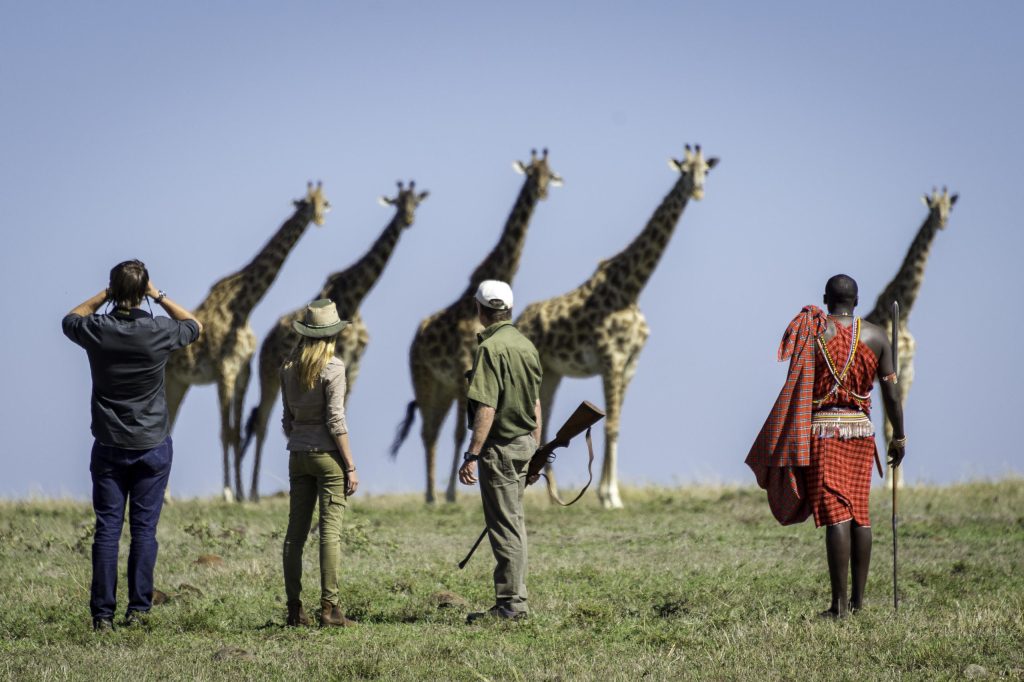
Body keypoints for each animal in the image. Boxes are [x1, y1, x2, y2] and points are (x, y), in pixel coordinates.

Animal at [165, 180, 329, 499]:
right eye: (306, 203)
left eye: (324, 202)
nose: (318, 219)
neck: (244, 306)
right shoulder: (224, 372)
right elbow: (226, 433)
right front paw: (228, 494)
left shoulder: (243, 373)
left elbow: (237, 433)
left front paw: (241, 494)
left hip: (179, 382)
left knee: (167, 427)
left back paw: (165, 497)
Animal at [243, 180, 428, 499]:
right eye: (398, 203)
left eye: (415, 202)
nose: (408, 219)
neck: (354, 299)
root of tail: (266, 341)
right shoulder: (340, 359)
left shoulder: (354, 365)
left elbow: (342, 413)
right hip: (267, 375)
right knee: (262, 422)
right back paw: (252, 493)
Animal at [391, 147, 565, 499]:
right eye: (531, 173)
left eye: (550, 173)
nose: (542, 191)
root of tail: (415, 338)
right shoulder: (465, 373)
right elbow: (461, 433)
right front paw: (451, 494)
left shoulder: (461, 379)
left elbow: (462, 431)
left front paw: (453, 492)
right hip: (423, 378)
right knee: (428, 432)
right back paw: (431, 495)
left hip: (442, 387)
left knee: (432, 430)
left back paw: (433, 493)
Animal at [516, 144, 716, 503]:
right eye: (684, 170)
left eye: (705, 170)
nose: (697, 191)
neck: (630, 289)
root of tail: (520, 319)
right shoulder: (611, 358)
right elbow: (610, 424)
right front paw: (609, 495)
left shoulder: (631, 362)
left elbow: (618, 424)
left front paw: (611, 493)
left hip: (552, 371)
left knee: (545, 420)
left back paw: (551, 491)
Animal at [864, 183, 958, 485]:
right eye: (933, 207)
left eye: (949, 207)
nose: (942, 222)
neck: (903, 313)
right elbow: (888, 428)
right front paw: (894, 485)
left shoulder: (908, 369)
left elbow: (896, 426)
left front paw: (899, 483)